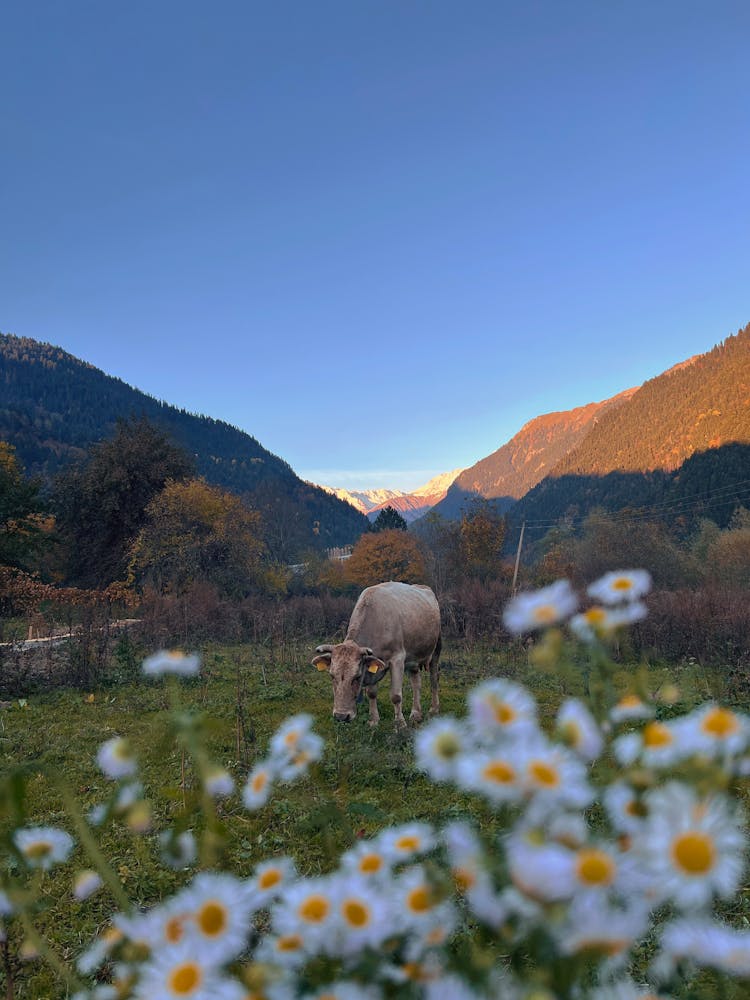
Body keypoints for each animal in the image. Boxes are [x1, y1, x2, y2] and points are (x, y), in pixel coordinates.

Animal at [310, 580, 440, 728]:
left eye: (357, 677)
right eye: (332, 676)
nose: (341, 716)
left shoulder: (397, 659)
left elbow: (396, 696)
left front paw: (400, 724)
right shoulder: (371, 663)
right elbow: (371, 693)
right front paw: (373, 720)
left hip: (436, 648)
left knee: (434, 678)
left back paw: (434, 709)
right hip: (413, 657)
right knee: (416, 682)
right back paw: (416, 714)